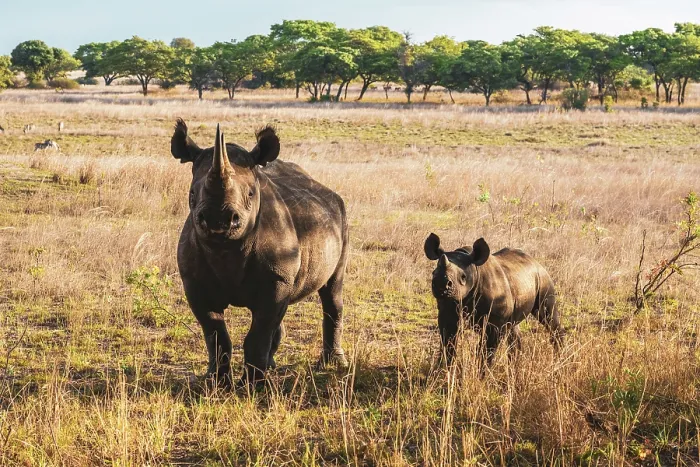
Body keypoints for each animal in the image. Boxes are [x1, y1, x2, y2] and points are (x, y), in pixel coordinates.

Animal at [171, 119, 349, 387]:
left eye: (251, 194)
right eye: (192, 194)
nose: (218, 220)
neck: (226, 250)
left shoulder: (276, 279)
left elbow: (258, 334)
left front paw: (253, 386)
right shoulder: (194, 282)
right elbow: (215, 334)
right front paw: (216, 383)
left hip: (343, 217)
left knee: (332, 291)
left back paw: (333, 364)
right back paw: (271, 364)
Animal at [424, 234, 564, 369]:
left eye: (463, 277)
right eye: (433, 273)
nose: (441, 286)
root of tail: (536, 262)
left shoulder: (494, 323)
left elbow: (486, 351)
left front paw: (483, 372)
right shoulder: (448, 311)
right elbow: (448, 344)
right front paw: (444, 370)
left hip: (544, 279)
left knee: (548, 316)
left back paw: (559, 360)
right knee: (513, 328)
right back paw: (515, 367)